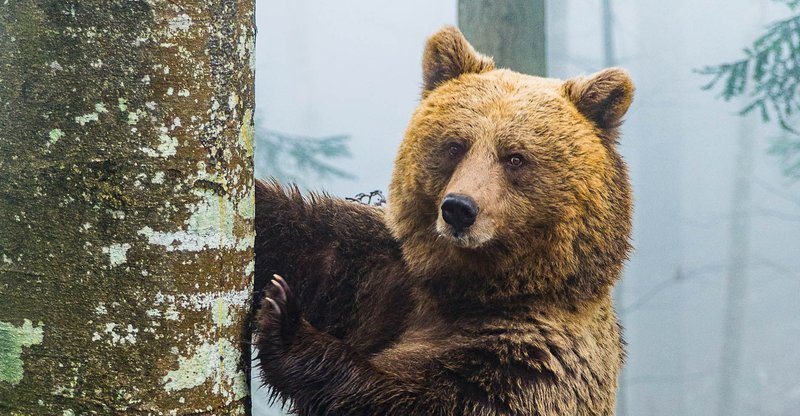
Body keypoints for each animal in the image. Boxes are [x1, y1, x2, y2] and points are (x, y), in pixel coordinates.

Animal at [254, 25, 634, 416]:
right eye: (456, 145)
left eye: (515, 157)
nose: (459, 209)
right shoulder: (377, 271)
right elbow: (305, 243)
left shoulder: (534, 353)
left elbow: (430, 398)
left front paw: (285, 320)